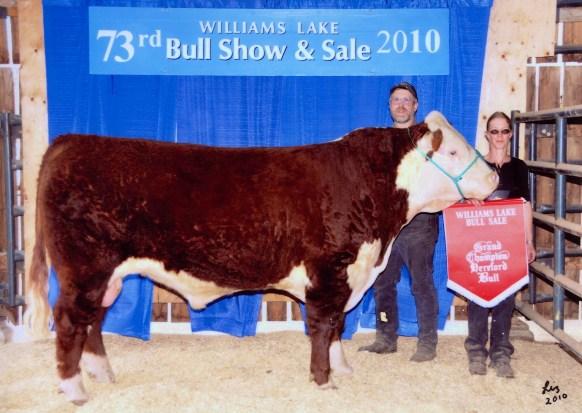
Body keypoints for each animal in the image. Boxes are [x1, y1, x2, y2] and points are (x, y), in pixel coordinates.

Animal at [24, 111, 497, 404]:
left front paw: (341, 369)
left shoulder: (348, 276)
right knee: (70, 319)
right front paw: (322, 381)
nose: (494, 176)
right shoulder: (329, 271)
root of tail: (70, 142)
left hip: (105, 274)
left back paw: (100, 373)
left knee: (93, 320)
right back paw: (74, 389)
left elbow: (338, 325)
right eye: (452, 152)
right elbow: (323, 326)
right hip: (86, 266)